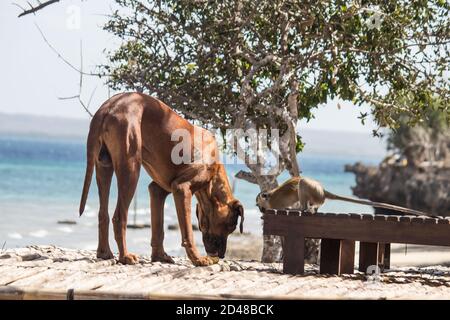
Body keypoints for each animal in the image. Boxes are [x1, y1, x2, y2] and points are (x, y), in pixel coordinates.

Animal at [79, 92, 244, 264]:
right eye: (231, 226)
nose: (222, 255)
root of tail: (108, 107)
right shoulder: (182, 189)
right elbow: (188, 233)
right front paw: (197, 259)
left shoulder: (157, 191)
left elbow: (158, 228)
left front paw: (159, 256)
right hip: (130, 169)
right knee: (119, 217)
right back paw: (125, 256)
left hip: (104, 166)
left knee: (102, 213)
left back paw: (104, 253)